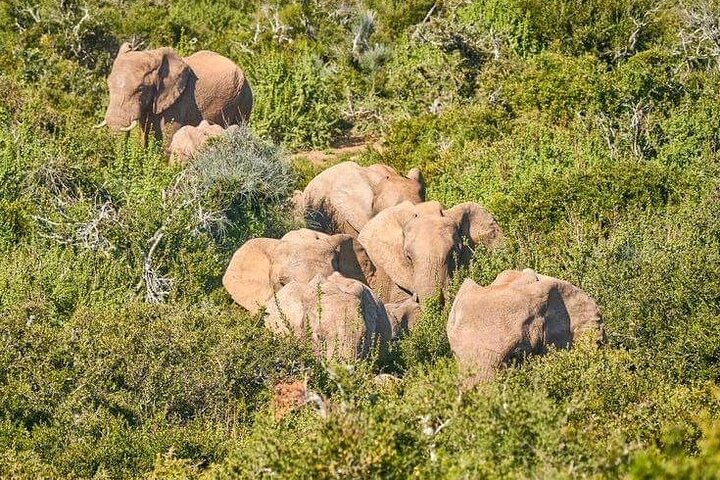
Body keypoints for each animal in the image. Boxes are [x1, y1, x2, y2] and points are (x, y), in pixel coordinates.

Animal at [96, 42, 252, 145]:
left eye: (140, 89)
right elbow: (145, 133)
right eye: (109, 86)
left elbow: (167, 136)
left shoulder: (179, 101)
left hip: (243, 98)